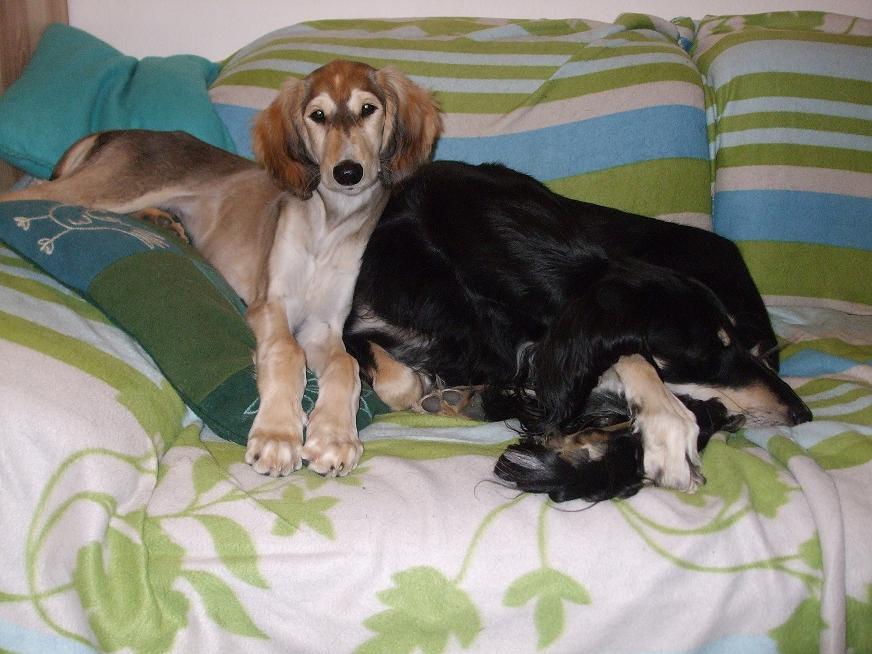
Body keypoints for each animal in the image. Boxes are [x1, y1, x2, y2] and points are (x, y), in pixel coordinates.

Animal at [1, 60, 441, 478]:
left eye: (368, 109)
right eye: (317, 115)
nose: (347, 172)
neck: (330, 224)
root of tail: (115, 132)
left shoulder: (324, 325)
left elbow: (347, 365)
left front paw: (334, 437)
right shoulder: (270, 305)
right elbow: (286, 351)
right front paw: (278, 435)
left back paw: (164, 223)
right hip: (109, 187)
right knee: (23, 194)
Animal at [344, 161, 812, 497]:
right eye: (712, 351)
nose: (803, 414)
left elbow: (626, 357)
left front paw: (664, 433)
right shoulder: (356, 320)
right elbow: (398, 382)